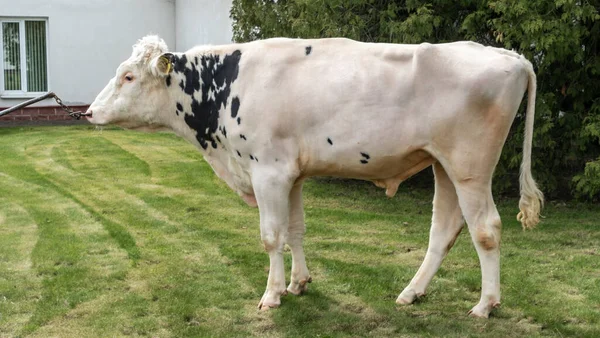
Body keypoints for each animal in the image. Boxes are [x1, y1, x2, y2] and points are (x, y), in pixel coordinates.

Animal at [88, 35, 544, 318]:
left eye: (128, 76)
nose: (89, 112)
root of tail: (510, 56)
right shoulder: (292, 174)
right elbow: (295, 230)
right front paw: (298, 284)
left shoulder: (268, 171)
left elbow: (271, 236)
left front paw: (271, 295)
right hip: (443, 165)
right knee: (444, 230)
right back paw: (411, 293)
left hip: (470, 168)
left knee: (486, 229)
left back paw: (485, 304)